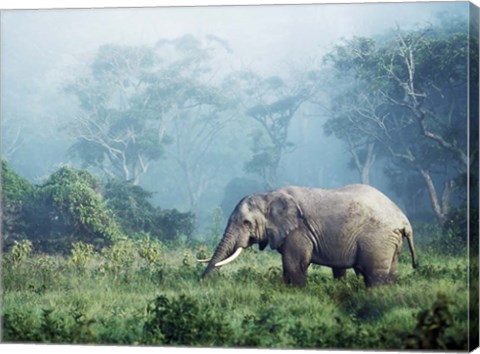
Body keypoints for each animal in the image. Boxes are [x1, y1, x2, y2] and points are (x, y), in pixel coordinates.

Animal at [199, 185, 416, 288]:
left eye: (246, 223)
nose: (200, 281)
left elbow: (294, 265)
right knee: (389, 273)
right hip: (390, 242)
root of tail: (404, 219)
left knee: (373, 275)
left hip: (378, 239)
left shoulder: (299, 231)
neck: (270, 194)